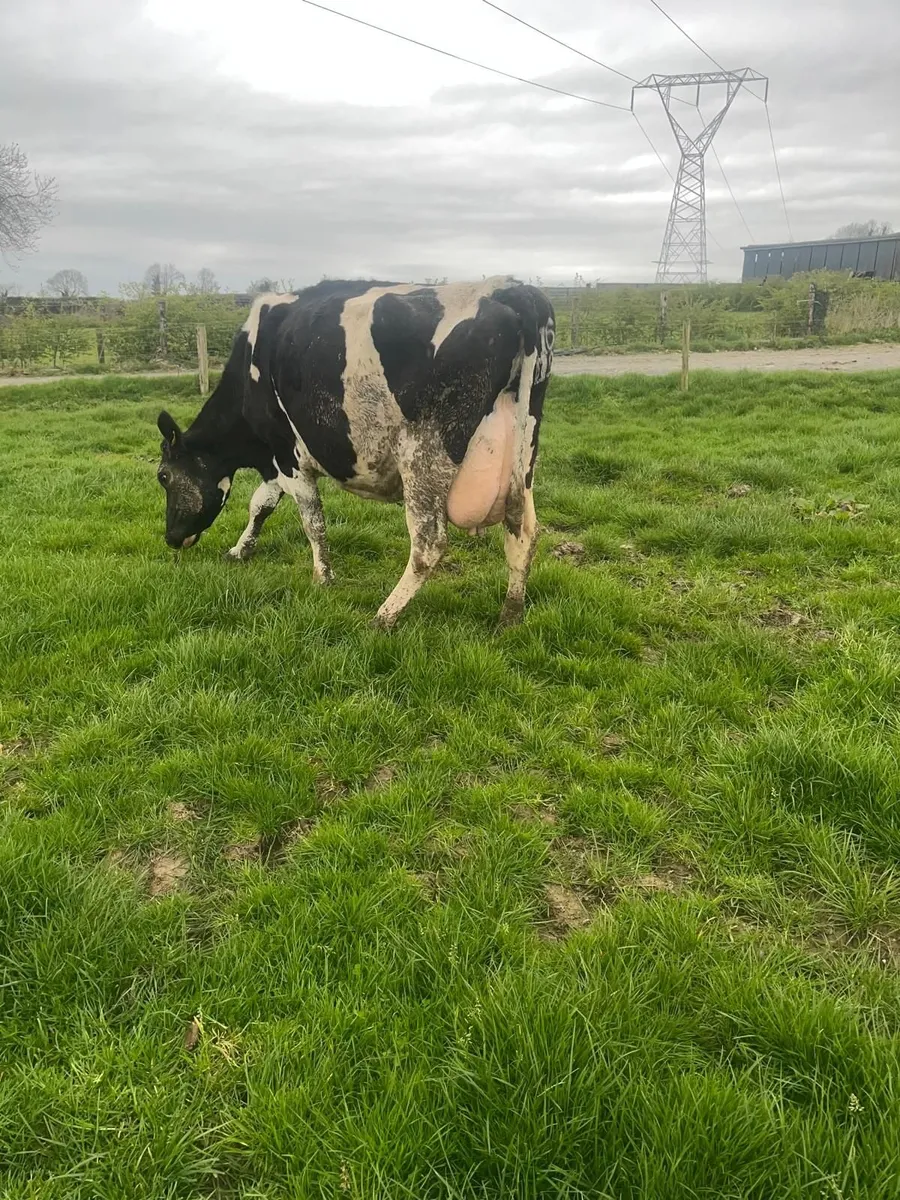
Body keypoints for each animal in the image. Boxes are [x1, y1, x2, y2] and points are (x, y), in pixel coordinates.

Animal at [155, 276, 554, 629]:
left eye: (163, 476)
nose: (171, 538)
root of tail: (511, 289)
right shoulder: (275, 461)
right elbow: (261, 505)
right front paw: (240, 550)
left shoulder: (288, 454)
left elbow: (311, 521)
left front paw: (322, 578)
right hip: (525, 452)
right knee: (523, 531)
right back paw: (510, 616)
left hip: (423, 453)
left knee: (429, 543)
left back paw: (384, 616)